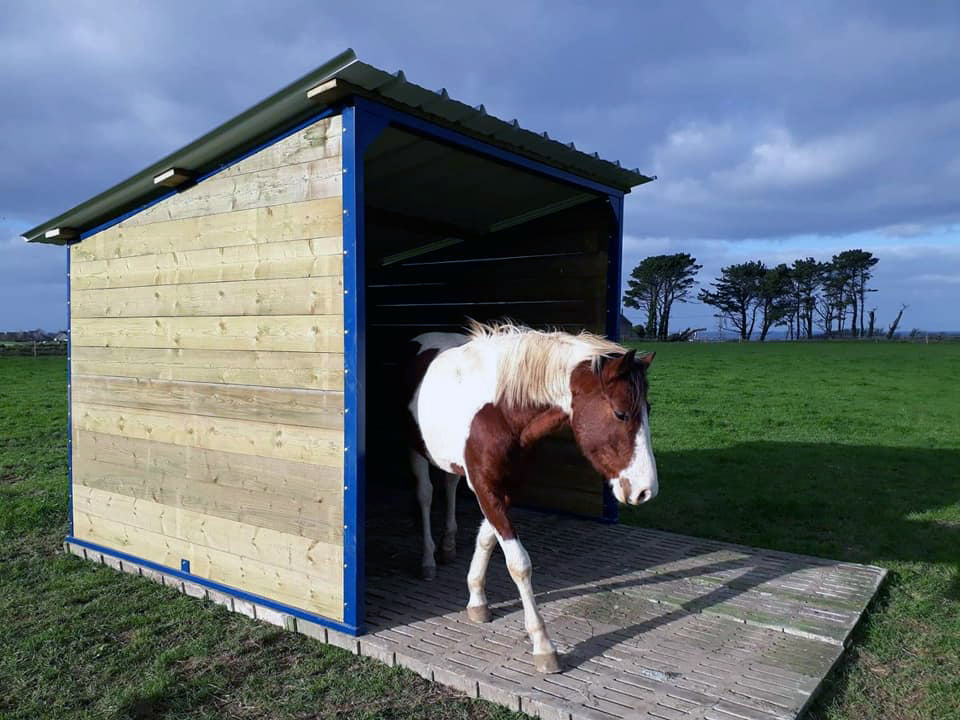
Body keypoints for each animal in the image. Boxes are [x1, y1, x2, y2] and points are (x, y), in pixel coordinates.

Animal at [402, 322, 656, 676]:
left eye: (649, 410)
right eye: (620, 414)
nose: (646, 490)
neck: (501, 411)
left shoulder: (505, 486)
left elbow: (487, 539)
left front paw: (477, 598)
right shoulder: (485, 485)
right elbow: (519, 563)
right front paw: (543, 645)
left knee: (449, 485)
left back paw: (448, 544)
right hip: (415, 449)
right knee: (425, 496)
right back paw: (428, 559)